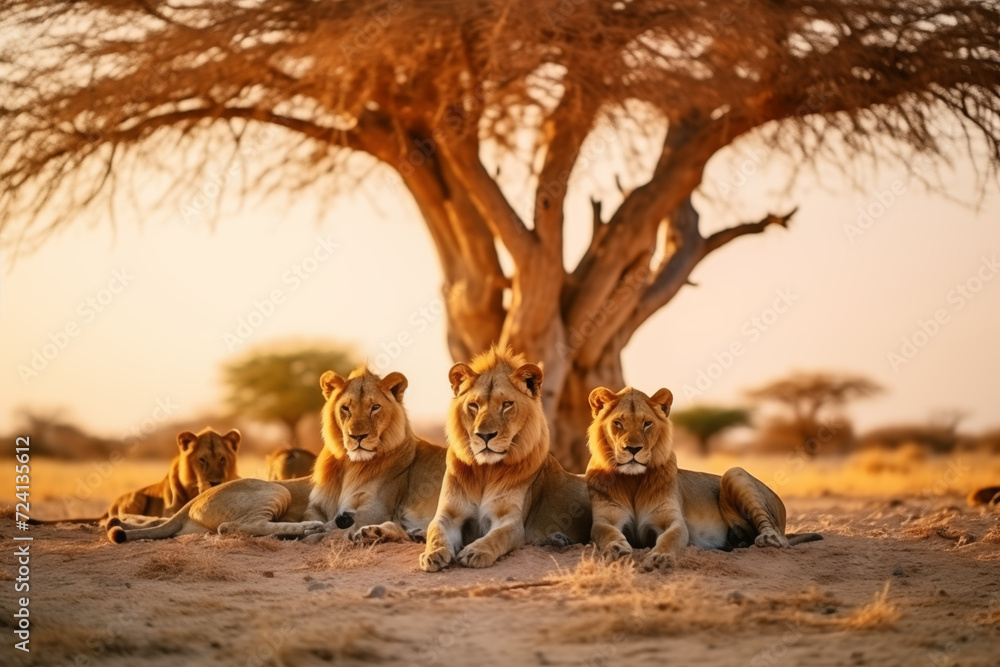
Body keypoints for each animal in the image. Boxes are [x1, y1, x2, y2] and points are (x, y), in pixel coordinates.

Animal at [302, 367, 447, 544]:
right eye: (345, 408)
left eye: (375, 407)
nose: (357, 436)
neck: (351, 465)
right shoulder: (317, 506)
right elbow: (312, 519)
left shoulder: (377, 509)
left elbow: (331, 527)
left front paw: (316, 532)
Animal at [419, 346, 592, 572]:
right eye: (473, 405)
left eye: (507, 404)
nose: (485, 435)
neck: (486, 470)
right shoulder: (449, 514)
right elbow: (436, 531)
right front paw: (432, 553)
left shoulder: (510, 520)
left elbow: (497, 537)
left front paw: (476, 552)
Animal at [586, 386, 821, 571]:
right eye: (618, 423)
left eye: (647, 423)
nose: (633, 449)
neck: (633, 480)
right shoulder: (606, 518)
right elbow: (604, 531)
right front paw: (617, 547)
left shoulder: (673, 520)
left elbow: (670, 538)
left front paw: (660, 557)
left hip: (734, 472)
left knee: (775, 532)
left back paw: (768, 539)